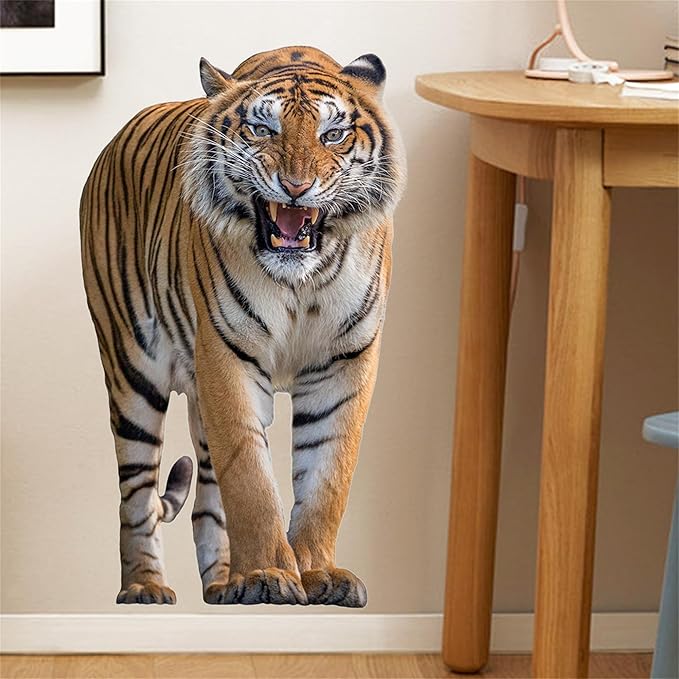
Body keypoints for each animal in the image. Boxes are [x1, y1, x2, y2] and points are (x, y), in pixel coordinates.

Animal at [80, 46, 405, 607]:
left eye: (333, 135)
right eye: (262, 129)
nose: (296, 188)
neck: (303, 281)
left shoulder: (344, 363)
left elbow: (327, 476)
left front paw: (318, 573)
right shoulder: (227, 357)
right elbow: (250, 480)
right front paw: (268, 575)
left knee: (206, 501)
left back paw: (222, 585)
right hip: (131, 372)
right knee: (136, 495)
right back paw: (146, 586)